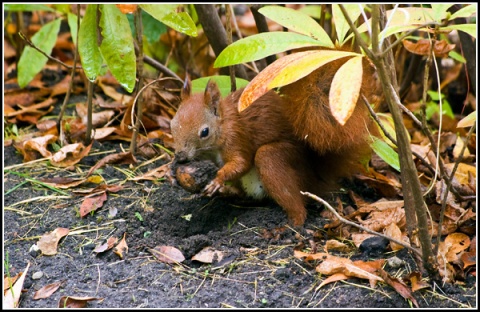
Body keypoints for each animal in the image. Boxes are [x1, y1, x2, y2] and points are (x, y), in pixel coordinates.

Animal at [169, 56, 378, 227]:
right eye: (172, 124)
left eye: (204, 132)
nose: (180, 156)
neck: (224, 124)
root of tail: (316, 174)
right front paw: (173, 169)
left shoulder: (237, 138)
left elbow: (241, 163)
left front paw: (217, 180)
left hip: (275, 159)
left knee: (294, 202)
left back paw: (288, 227)